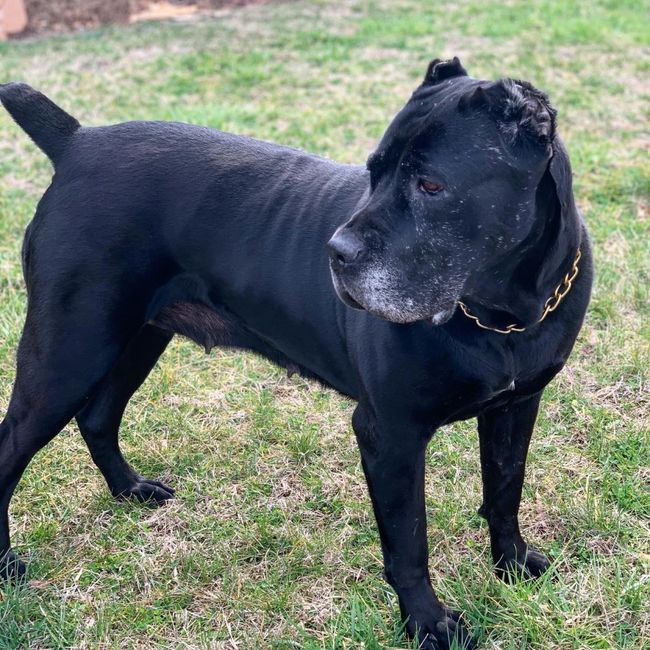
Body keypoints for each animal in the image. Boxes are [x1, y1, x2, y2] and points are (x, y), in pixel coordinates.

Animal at [0, 58, 588, 644]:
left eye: (431, 185)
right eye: (372, 172)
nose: (336, 251)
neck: (499, 315)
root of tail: (77, 142)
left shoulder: (517, 406)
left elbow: (505, 489)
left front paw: (512, 565)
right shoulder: (391, 434)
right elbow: (409, 542)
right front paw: (427, 622)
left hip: (136, 338)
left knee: (98, 416)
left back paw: (130, 489)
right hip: (69, 353)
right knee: (13, 448)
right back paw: (7, 564)